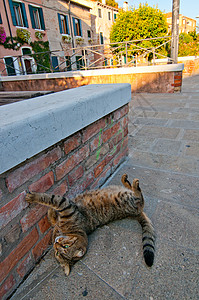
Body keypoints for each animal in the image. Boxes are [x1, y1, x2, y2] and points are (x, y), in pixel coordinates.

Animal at [25, 175, 155, 276]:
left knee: (140, 199)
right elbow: (52, 218)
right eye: (57, 253)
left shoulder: (66, 206)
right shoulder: (58, 219)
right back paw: (126, 181)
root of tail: (136, 214)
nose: (56, 244)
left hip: (127, 200)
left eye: (65, 247)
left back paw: (134, 185)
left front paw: (33, 197)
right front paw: (50, 212)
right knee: (131, 190)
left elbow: (50, 198)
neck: (69, 231)